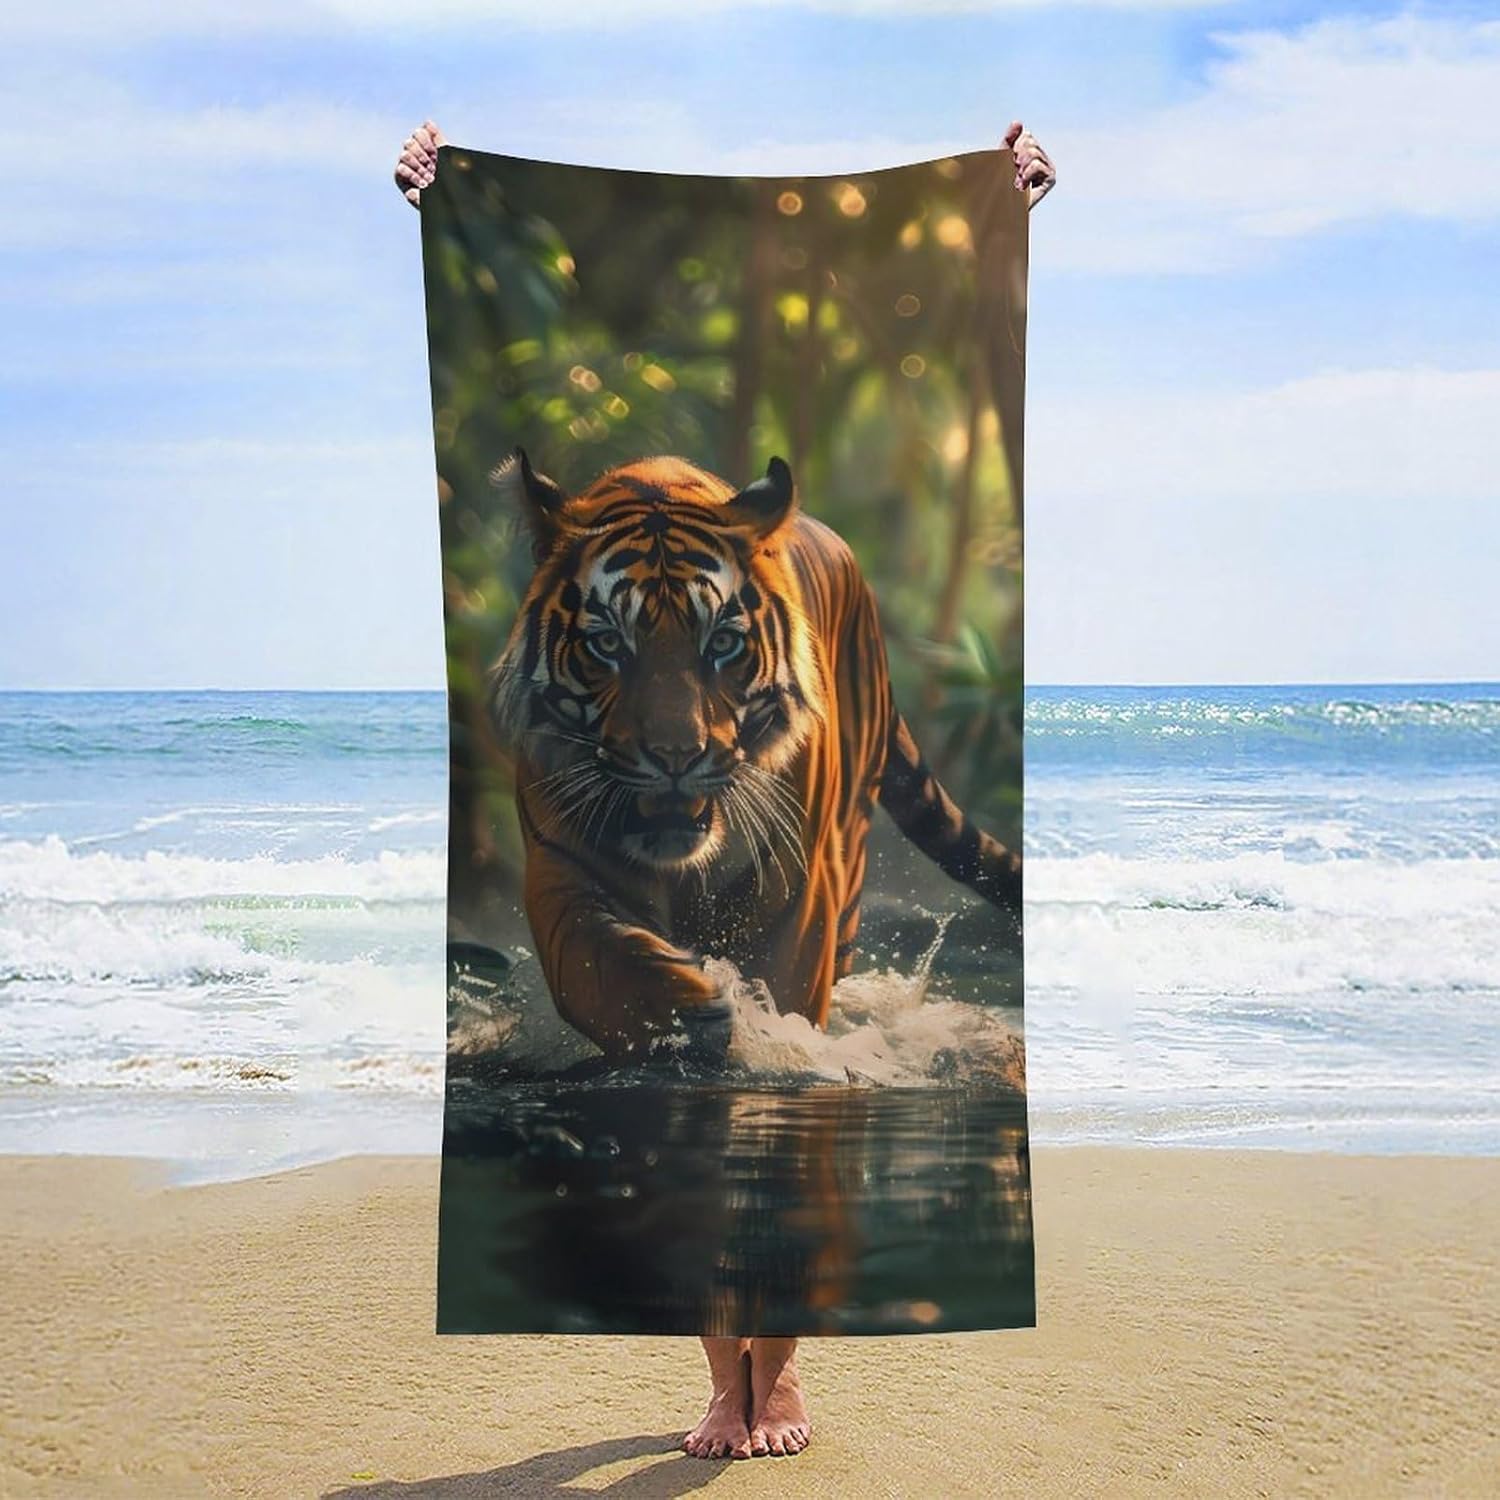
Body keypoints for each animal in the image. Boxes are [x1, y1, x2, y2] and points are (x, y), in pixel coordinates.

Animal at [487, 448, 1021, 1061]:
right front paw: (687, 1010)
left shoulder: (800, 887)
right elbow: (592, 965)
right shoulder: (560, 864)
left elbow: (788, 994)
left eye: (722, 643)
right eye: (608, 644)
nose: (676, 756)